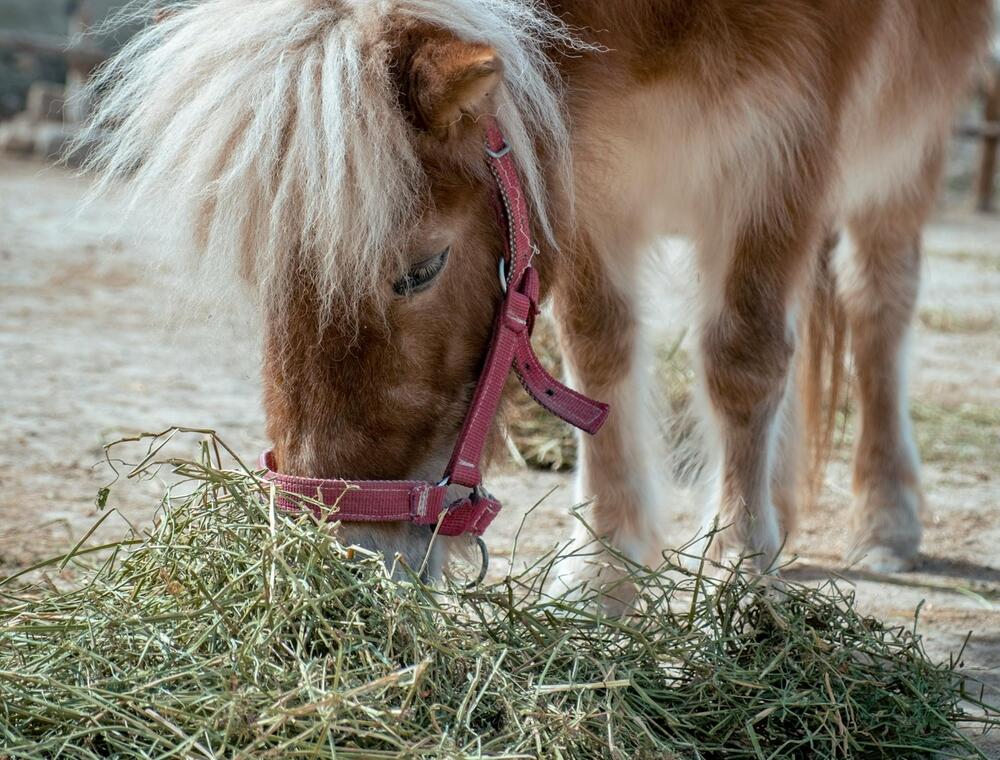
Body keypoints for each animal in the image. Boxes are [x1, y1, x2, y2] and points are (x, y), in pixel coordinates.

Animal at [84, 0, 992, 604]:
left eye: (421, 270)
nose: (340, 555)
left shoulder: (783, 146)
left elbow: (741, 361)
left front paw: (735, 573)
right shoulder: (585, 171)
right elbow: (596, 350)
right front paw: (605, 567)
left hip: (901, 156)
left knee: (877, 309)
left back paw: (884, 521)